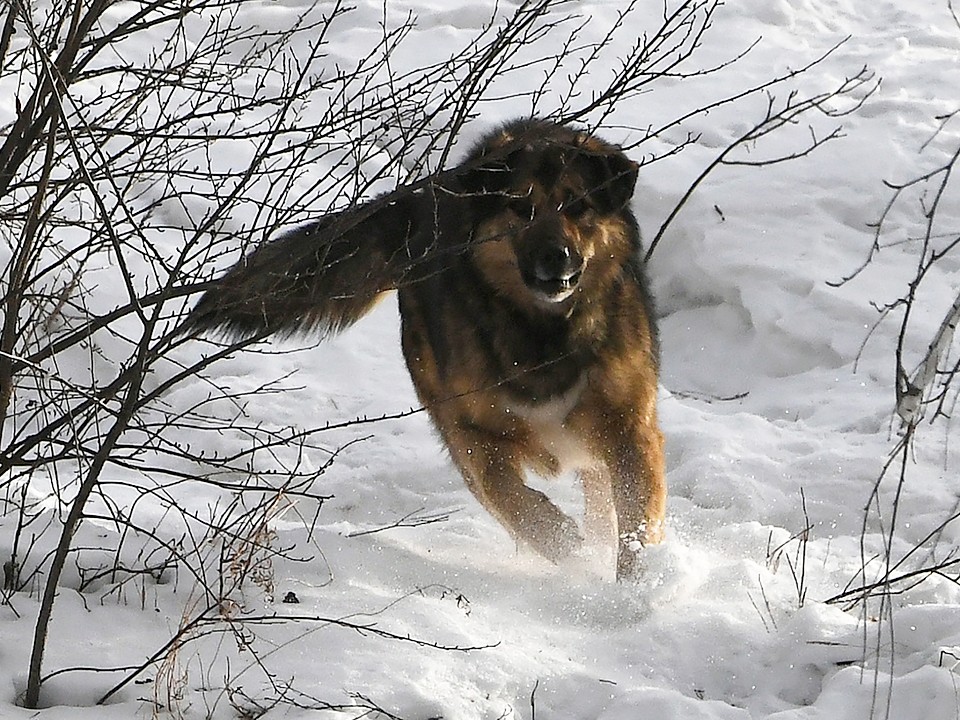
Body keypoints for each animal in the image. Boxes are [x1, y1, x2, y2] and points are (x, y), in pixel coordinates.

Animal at [188, 118, 668, 580]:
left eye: (578, 206)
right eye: (519, 207)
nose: (557, 256)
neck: (541, 331)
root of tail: (427, 198)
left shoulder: (628, 428)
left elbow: (635, 520)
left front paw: (637, 586)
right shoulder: (469, 431)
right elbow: (508, 494)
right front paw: (563, 542)